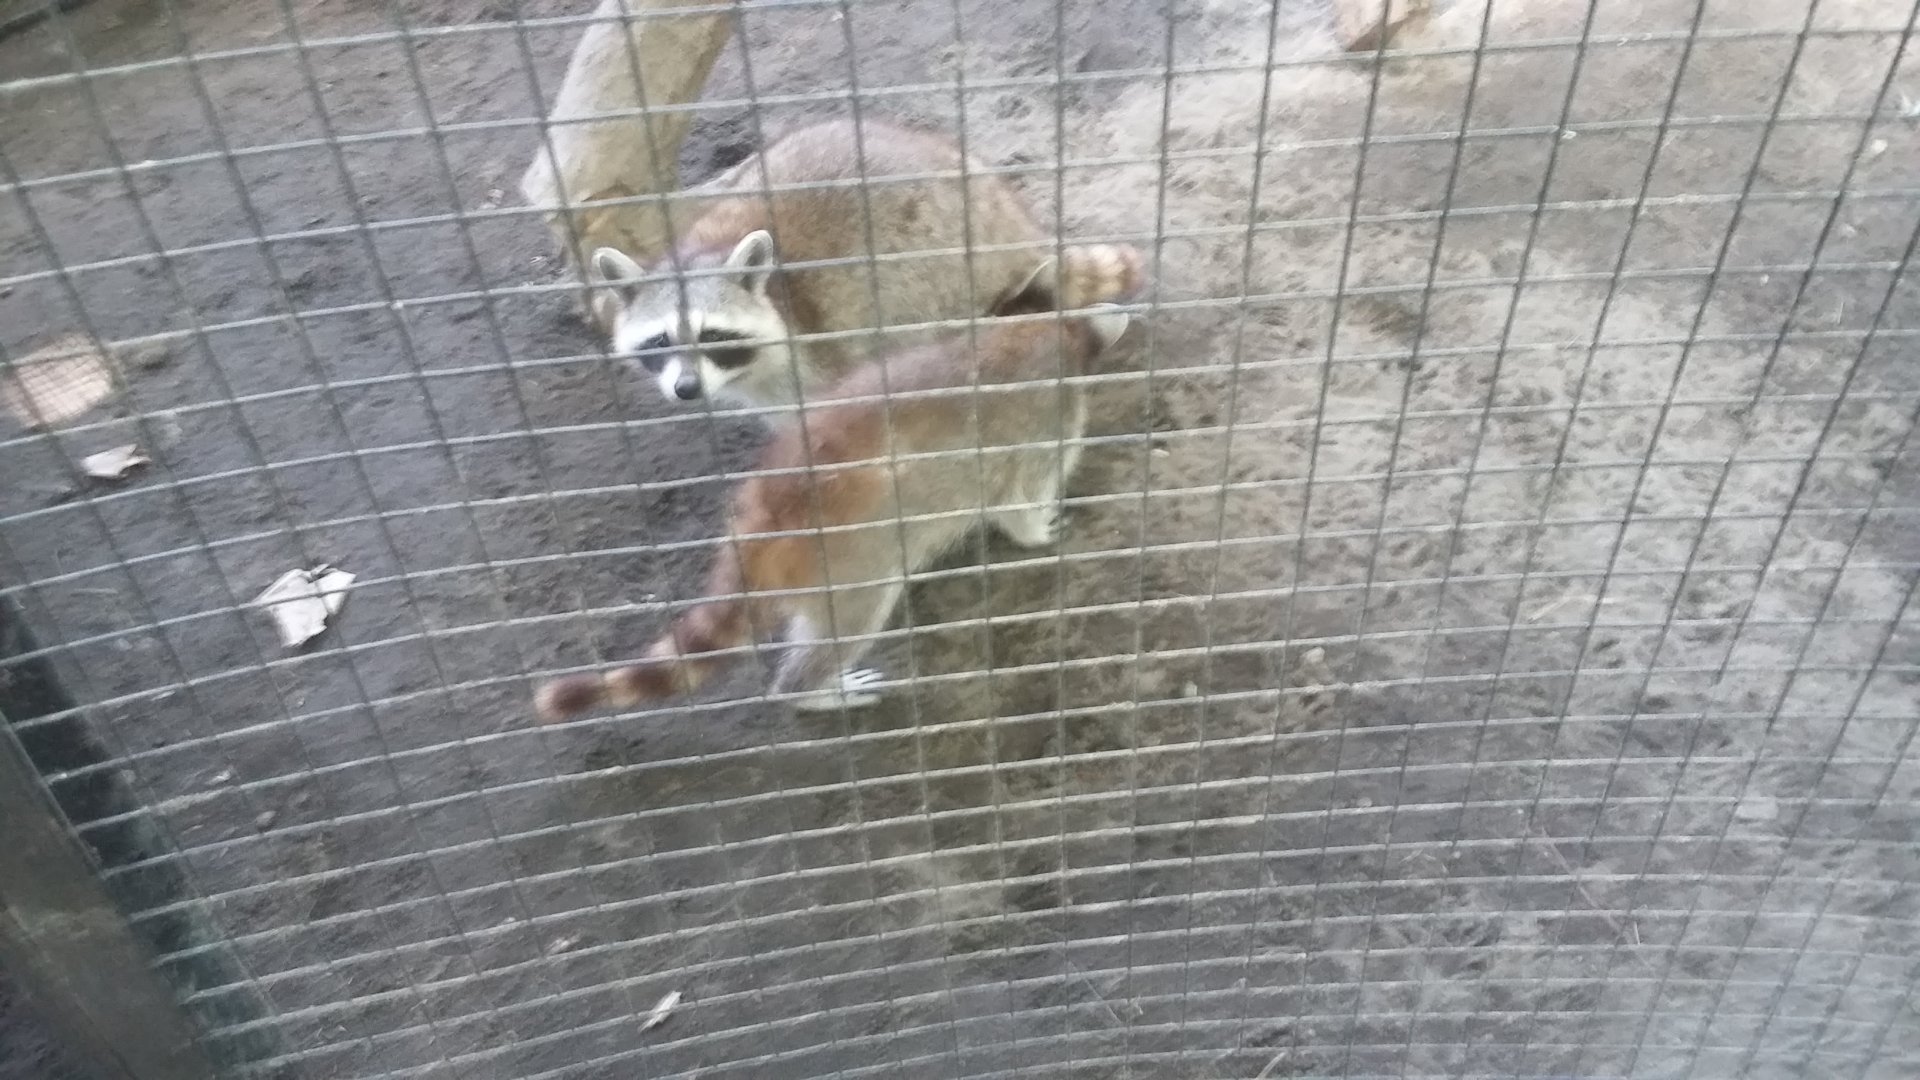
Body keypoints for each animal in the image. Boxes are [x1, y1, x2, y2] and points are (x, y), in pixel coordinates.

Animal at [534, 268, 1135, 721]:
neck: (1028, 333)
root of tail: (764, 514)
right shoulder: (1047, 422)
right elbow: (1018, 499)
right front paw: (1035, 529)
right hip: (847, 563)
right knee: (845, 626)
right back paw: (809, 690)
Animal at [589, 118, 1143, 418]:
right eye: (660, 340)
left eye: (713, 336)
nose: (687, 390)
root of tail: (1001, 210)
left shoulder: (820, 352)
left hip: (934, 267)